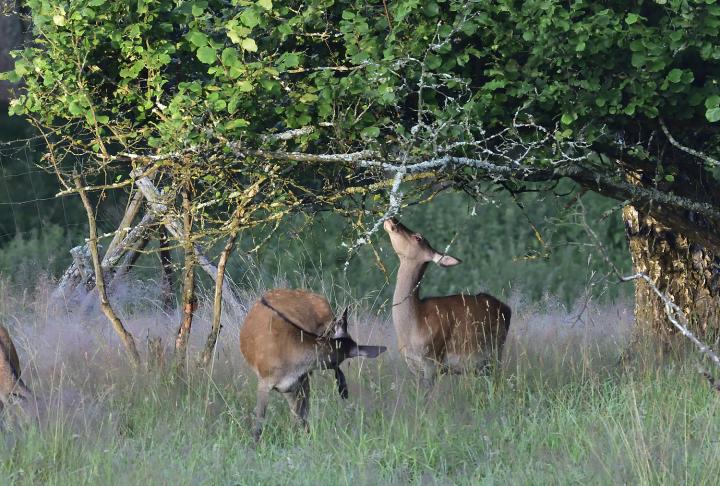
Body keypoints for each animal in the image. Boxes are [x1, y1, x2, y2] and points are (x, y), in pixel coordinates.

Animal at [382, 218, 512, 386]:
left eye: (418, 237)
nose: (392, 219)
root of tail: (507, 309)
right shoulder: (412, 366)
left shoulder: (431, 361)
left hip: (495, 354)